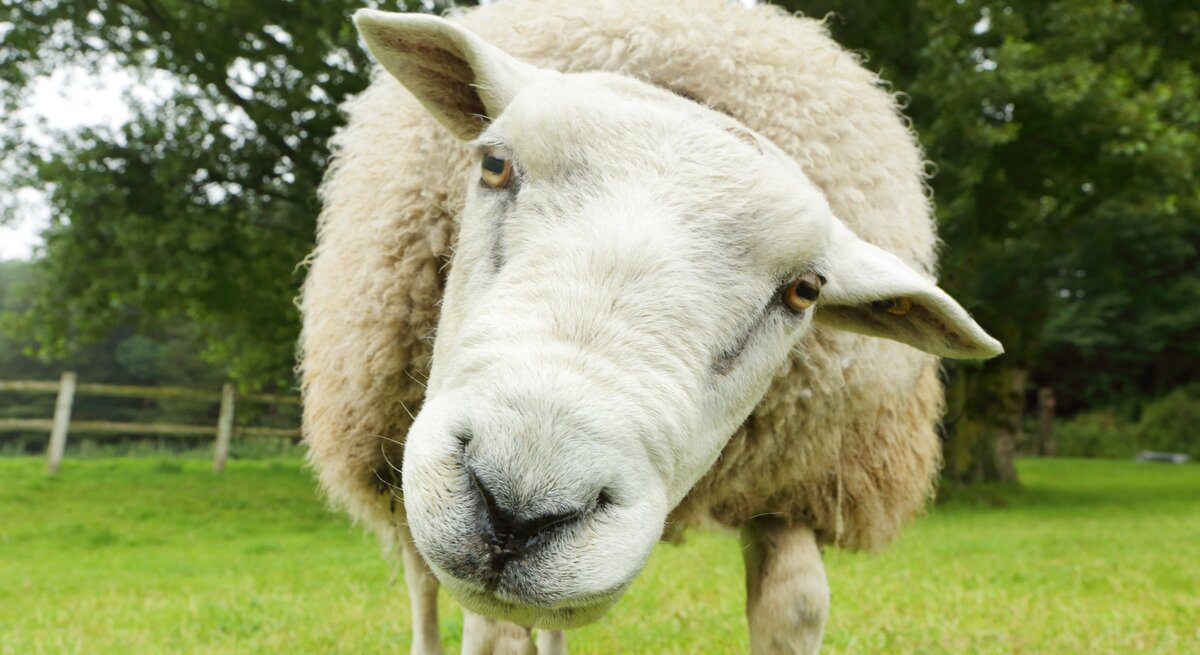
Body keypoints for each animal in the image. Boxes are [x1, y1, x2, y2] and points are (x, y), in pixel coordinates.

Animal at [299, 1, 1002, 653]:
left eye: (805, 291)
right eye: (494, 164)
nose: (519, 510)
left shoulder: (794, 486)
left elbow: (796, 606)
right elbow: (486, 629)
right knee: (424, 583)